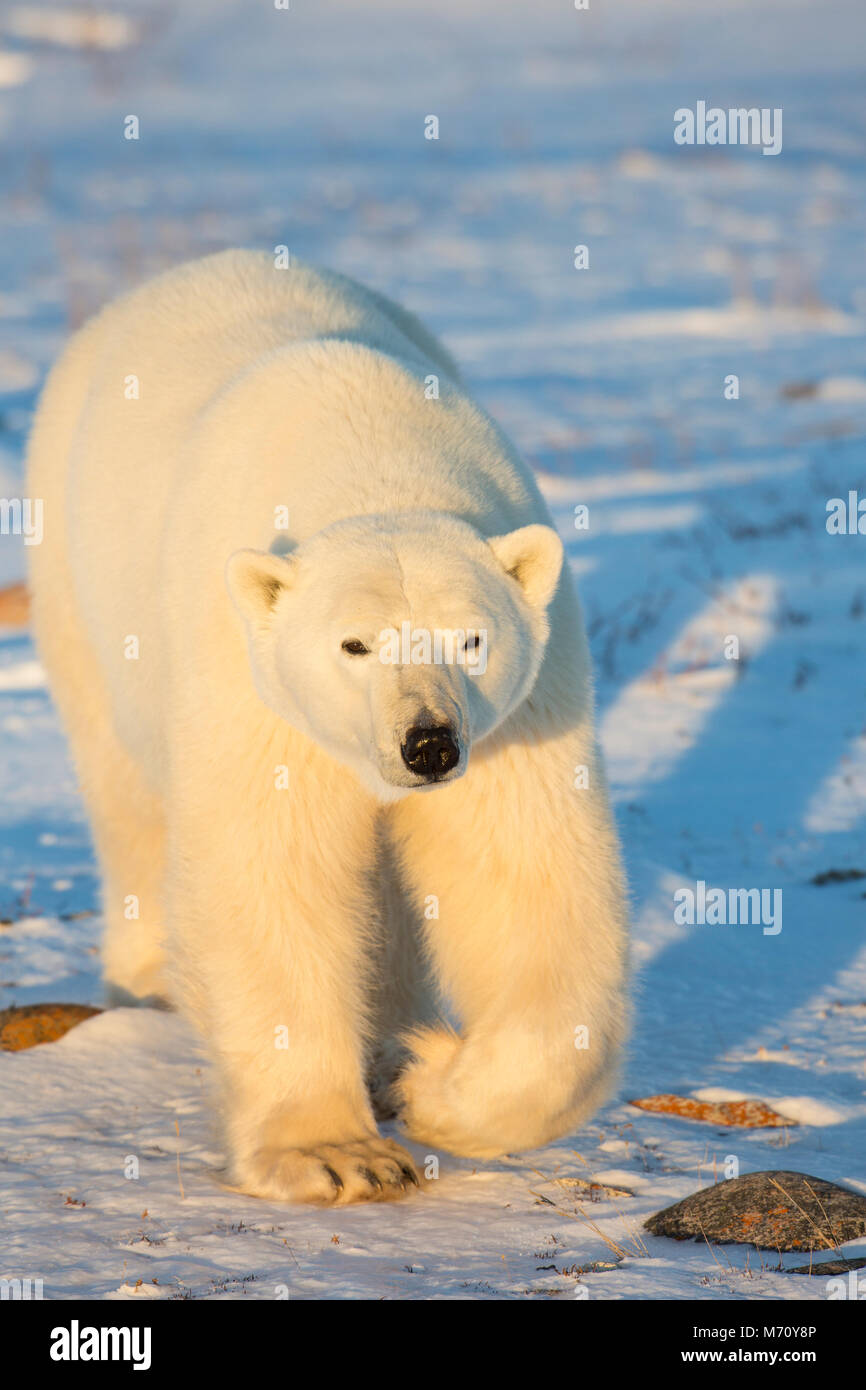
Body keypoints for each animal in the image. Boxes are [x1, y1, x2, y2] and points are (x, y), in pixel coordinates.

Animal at [23, 252, 625, 1206]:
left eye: (472, 637)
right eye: (354, 643)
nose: (429, 744)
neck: (373, 455)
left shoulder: (522, 706)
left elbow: (523, 876)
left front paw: (431, 1082)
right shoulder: (251, 683)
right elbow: (272, 871)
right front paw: (338, 1155)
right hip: (77, 578)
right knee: (124, 788)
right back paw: (146, 974)